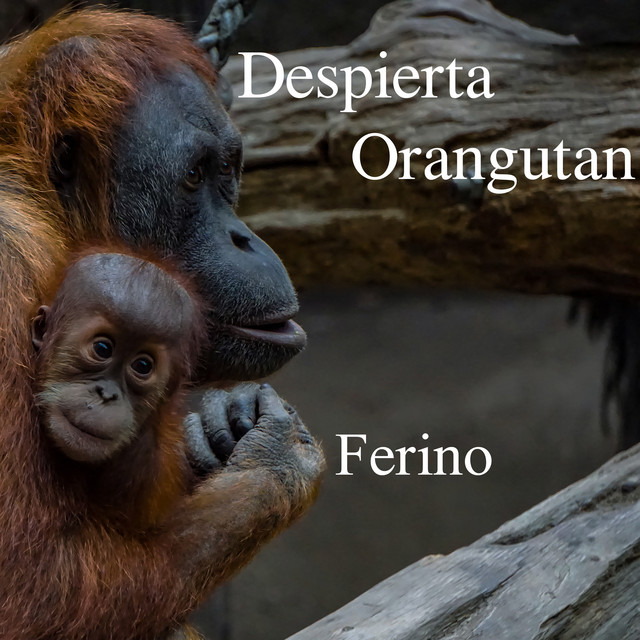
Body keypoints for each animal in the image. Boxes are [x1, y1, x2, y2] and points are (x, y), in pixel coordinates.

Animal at [4, 249, 324, 640]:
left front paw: (225, 422)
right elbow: (35, 582)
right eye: (101, 348)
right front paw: (281, 462)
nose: (106, 394)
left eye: (143, 366)